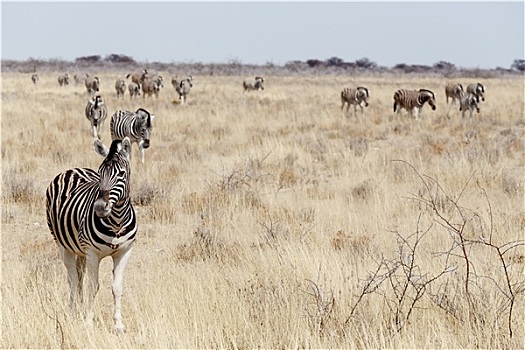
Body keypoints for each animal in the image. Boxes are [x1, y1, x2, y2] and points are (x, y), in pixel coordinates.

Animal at [45, 137, 135, 334]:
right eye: (100, 173)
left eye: (121, 174)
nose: (100, 207)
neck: (116, 222)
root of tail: (72, 169)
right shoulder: (93, 253)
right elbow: (93, 287)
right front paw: (88, 323)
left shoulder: (124, 252)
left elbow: (117, 287)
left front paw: (118, 325)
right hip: (63, 245)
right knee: (72, 278)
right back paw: (73, 311)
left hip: (80, 250)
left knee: (79, 276)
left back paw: (79, 307)